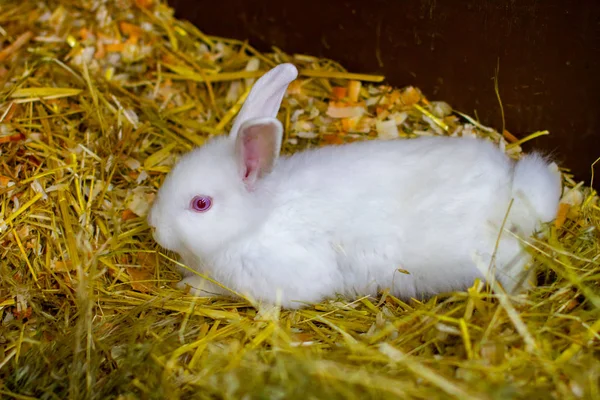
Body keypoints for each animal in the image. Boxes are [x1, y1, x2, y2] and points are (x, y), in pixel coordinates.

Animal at [146, 62, 564, 310]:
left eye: (201, 204)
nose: (153, 226)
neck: (254, 222)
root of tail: (509, 191)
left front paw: (194, 289)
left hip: (489, 255)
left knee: (520, 264)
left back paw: (521, 296)